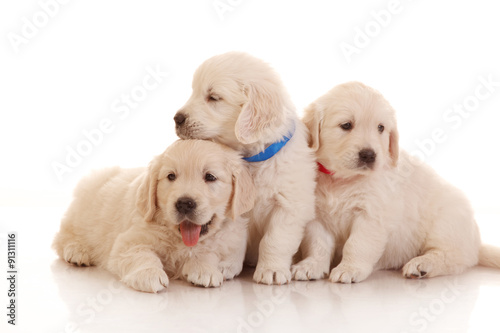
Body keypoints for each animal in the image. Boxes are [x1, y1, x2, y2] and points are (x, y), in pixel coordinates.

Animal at [175, 51, 316, 282]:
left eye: (213, 97)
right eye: (194, 91)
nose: (176, 118)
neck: (254, 160)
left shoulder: (289, 205)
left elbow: (275, 240)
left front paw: (272, 270)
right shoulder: (235, 209)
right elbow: (235, 239)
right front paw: (227, 266)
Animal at [292, 81, 500, 282]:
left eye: (381, 128)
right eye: (346, 125)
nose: (369, 155)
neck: (343, 179)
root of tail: (476, 243)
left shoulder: (372, 216)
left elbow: (358, 245)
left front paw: (350, 268)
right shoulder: (317, 218)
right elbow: (318, 245)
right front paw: (310, 266)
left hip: (446, 224)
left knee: (452, 256)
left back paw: (422, 264)